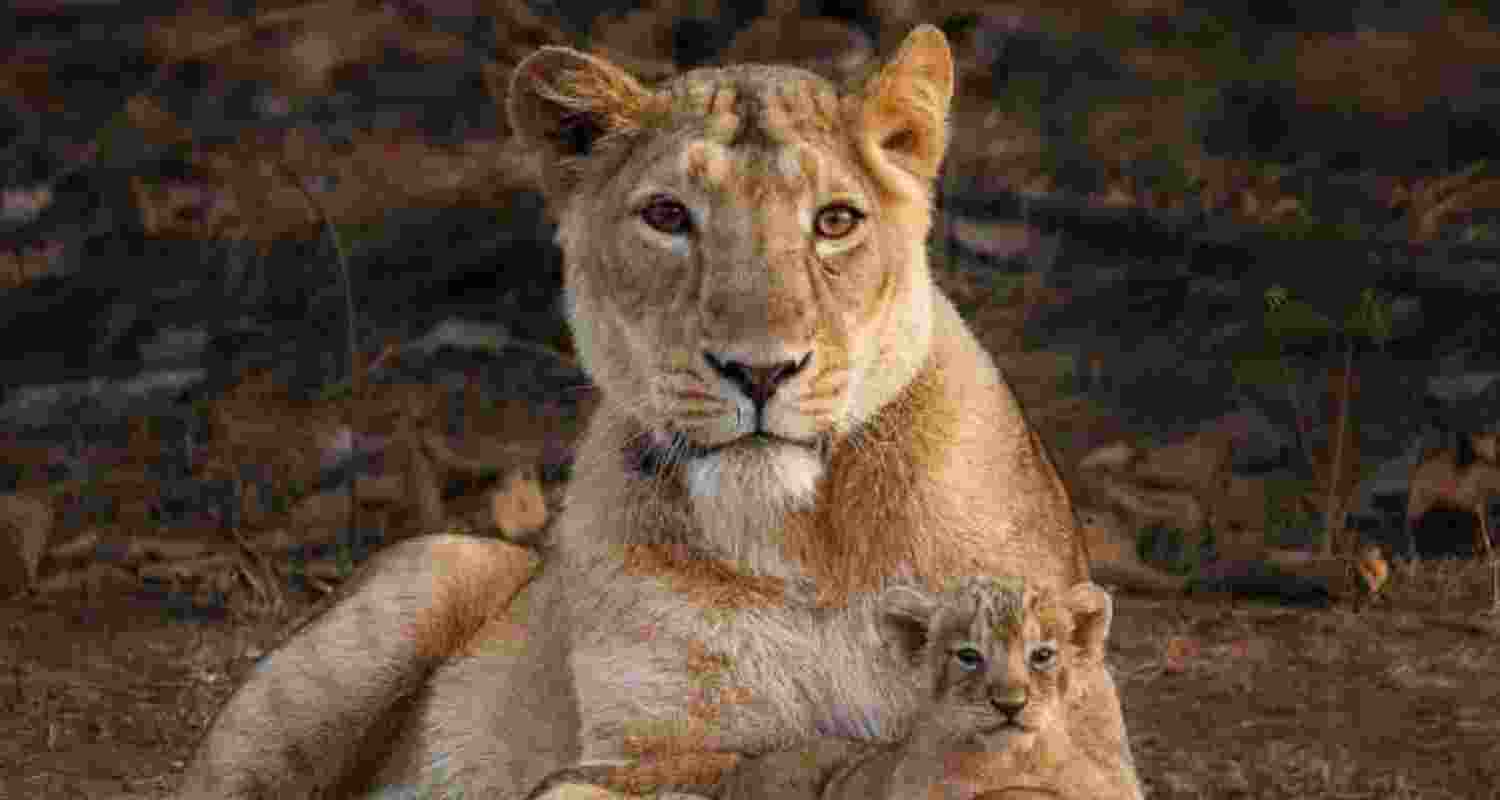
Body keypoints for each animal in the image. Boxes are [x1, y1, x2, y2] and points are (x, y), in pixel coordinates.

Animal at [177, 25, 1142, 800]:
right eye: (668, 216)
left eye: (835, 222)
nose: (760, 370)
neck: (801, 541)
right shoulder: (636, 753)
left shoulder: (1088, 751)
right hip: (425, 574)